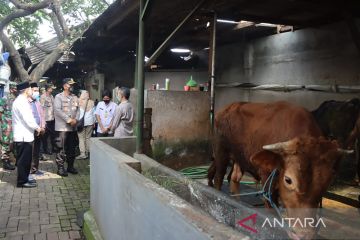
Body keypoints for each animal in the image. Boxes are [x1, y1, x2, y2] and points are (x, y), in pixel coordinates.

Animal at [208, 101, 346, 238]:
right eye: (288, 180)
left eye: (328, 181)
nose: (304, 234)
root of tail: (226, 108)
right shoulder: (266, 177)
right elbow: (270, 204)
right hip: (221, 153)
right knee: (219, 177)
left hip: (239, 158)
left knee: (234, 178)